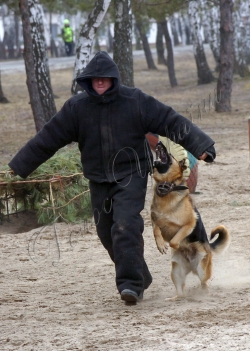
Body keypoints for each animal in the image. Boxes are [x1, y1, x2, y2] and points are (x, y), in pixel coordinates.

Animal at [150, 141, 230, 300]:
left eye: (170, 155)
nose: (160, 142)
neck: (166, 189)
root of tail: (191, 267)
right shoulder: (154, 219)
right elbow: (156, 230)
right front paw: (161, 244)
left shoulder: (189, 224)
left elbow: (174, 240)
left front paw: (175, 245)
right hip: (176, 272)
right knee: (180, 292)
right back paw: (174, 298)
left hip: (202, 270)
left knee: (205, 284)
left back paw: (203, 293)